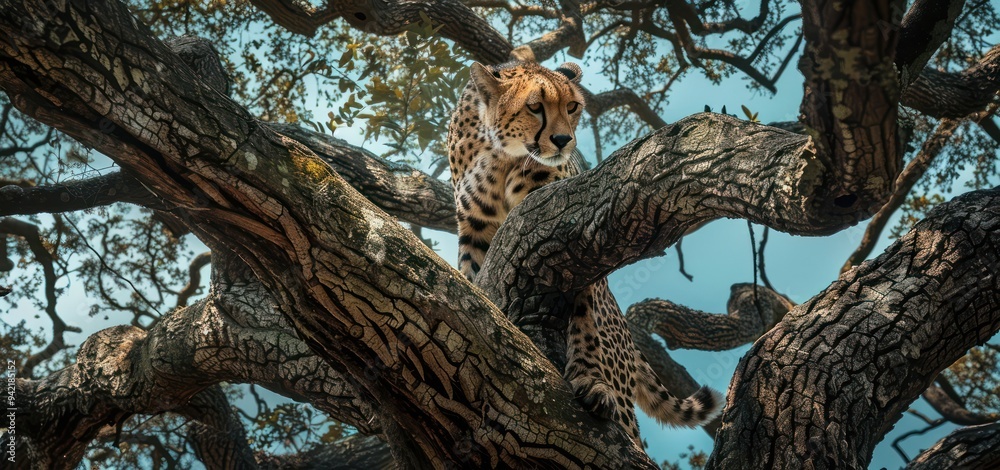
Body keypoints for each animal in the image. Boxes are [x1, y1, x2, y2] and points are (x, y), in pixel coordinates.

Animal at [447, 59, 724, 445]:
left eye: (572, 107)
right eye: (535, 106)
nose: (564, 140)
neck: (501, 154)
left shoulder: (575, 229)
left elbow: (585, 314)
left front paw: (590, 380)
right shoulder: (475, 229)